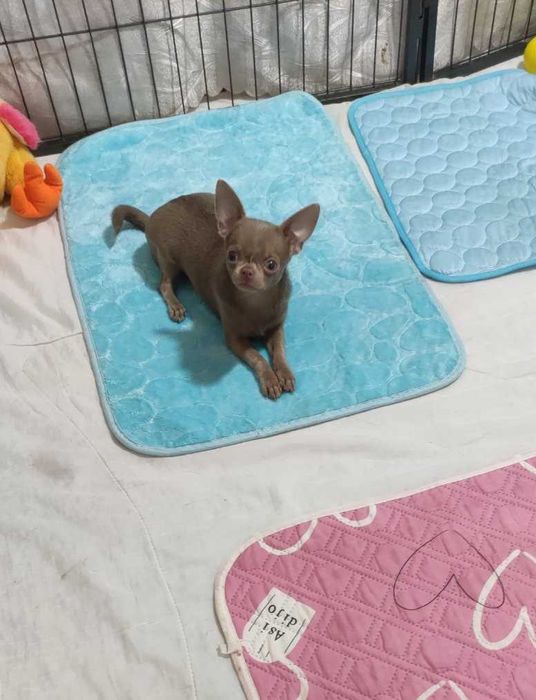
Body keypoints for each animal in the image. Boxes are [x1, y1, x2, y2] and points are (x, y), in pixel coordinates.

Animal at [112, 180, 320, 399]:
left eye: (271, 265)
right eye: (232, 256)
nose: (246, 271)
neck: (255, 301)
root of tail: (152, 215)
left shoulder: (276, 329)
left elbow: (279, 350)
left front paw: (284, 373)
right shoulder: (235, 340)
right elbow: (257, 357)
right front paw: (270, 379)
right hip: (169, 260)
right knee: (164, 284)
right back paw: (176, 305)